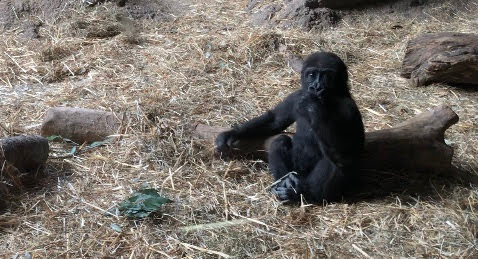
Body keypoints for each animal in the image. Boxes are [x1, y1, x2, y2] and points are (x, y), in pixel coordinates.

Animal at [215, 51, 364, 204]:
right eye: (311, 75)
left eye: (327, 76)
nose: (316, 87)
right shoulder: (296, 96)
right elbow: (275, 120)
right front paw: (232, 133)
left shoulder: (349, 108)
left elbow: (347, 151)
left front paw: (312, 106)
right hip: (296, 172)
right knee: (279, 141)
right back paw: (284, 181)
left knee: (334, 163)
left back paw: (304, 195)